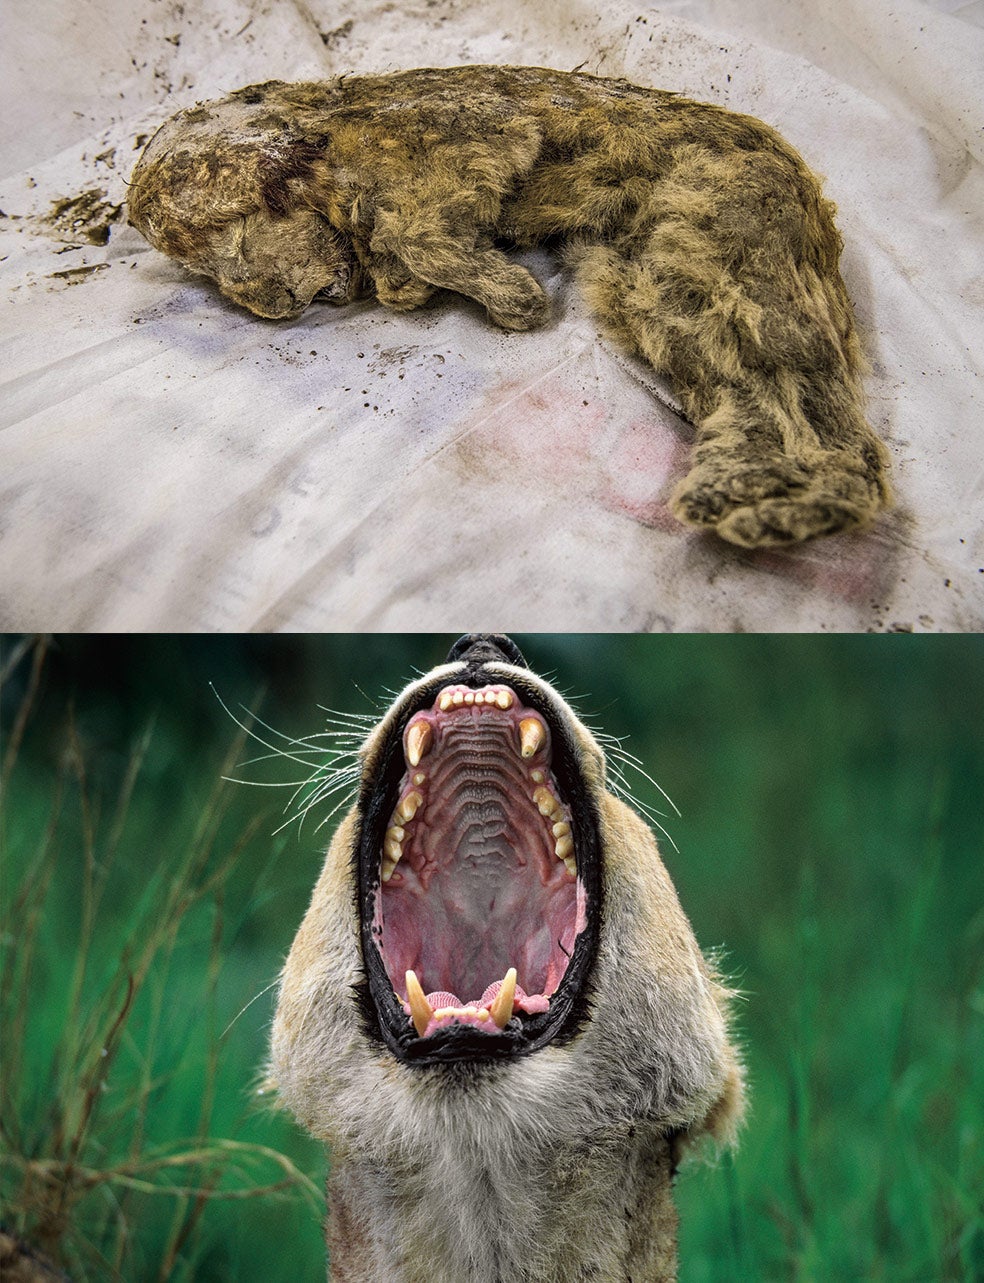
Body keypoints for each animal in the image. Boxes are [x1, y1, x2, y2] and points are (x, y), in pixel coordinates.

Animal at [127, 65, 891, 549]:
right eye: (206, 274)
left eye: (233, 234)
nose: (275, 306)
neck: (330, 146)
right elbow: (399, 259)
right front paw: (419, 281)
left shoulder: (472, 140)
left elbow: (418, 231)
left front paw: (508, 293)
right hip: (656, 283)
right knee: (752, 394)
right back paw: (741, 488)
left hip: (721, 242)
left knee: (823, 420)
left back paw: (786, 505)